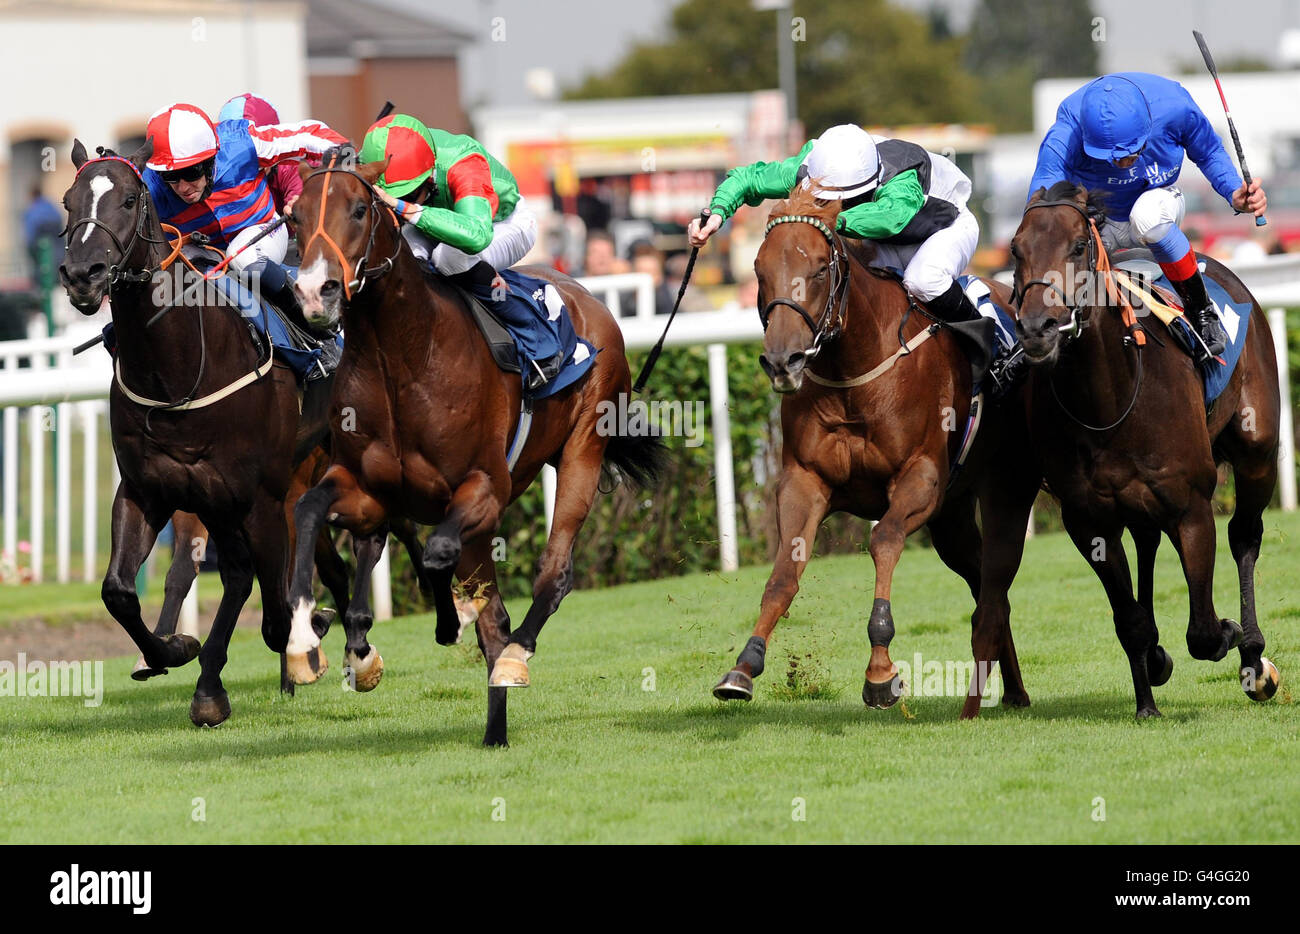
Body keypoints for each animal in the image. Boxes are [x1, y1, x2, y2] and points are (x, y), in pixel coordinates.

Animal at [60, 139, 335, 728]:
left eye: (129, 198)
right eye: (69, 202)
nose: (83, 274)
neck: (177, 371)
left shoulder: (258, 496)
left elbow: (274, 614)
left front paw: (307, 639)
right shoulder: (148, 490)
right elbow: (118, 592)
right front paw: (172, 651)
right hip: (217, 502)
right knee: (235, 574)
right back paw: (211, 684)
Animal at [275, 157, 660, 749]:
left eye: (360, 209)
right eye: (293, 217)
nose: (317, 291)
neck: (401, 355)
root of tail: (590, 298)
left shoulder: (484, 487)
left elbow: (436, 553)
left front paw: (440, 619)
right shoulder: (367, 487)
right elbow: (309, 509)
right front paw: (307, 639)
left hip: (582, 451)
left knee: (552, 574)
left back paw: (514, 658)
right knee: (493, 618)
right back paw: (493, 726)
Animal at [707, 184, 1040, 723]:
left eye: (819, 269)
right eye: (758, 268)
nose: (783, 361)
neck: (852, 372)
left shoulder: (921, 478)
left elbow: (883, 540)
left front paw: (881, 672)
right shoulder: (804, 480)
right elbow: (784, 574)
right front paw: (743, 667)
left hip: (1001, 485)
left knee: (993, 584)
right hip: (952, 519)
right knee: (987, 589)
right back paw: (1011, 691)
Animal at [1003, 183, 1279, 723]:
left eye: (1077, 247)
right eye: (1016, 250)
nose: (1038, 328)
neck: (1110, 395)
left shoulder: (1192, 507)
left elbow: (1203, 631)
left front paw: (1232, 634)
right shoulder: (1088, 520)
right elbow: (1129, 619)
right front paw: (1147, 697)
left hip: (1257, 452)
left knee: (1244, 536)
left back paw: (1254, 657)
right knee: (1149, 544)